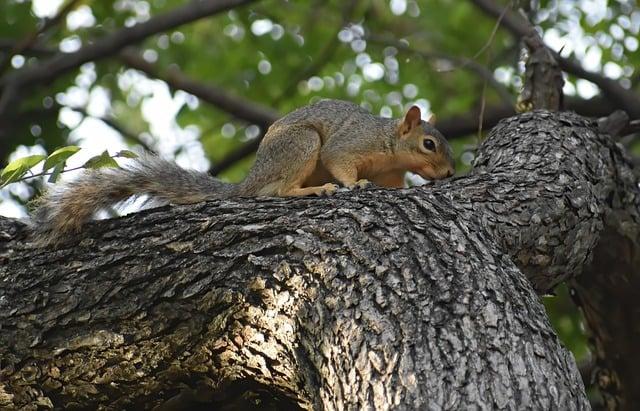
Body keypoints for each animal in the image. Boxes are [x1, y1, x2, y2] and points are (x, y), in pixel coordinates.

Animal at [31, 100, 456, 245]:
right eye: (429, 144)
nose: (450, 174)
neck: (389, 146)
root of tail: (250, 179)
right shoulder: (350, 145)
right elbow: (341, 162)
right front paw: (355, 184)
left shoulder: (392, 174)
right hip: (300, 146)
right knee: (274, 192)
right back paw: (309, 191)